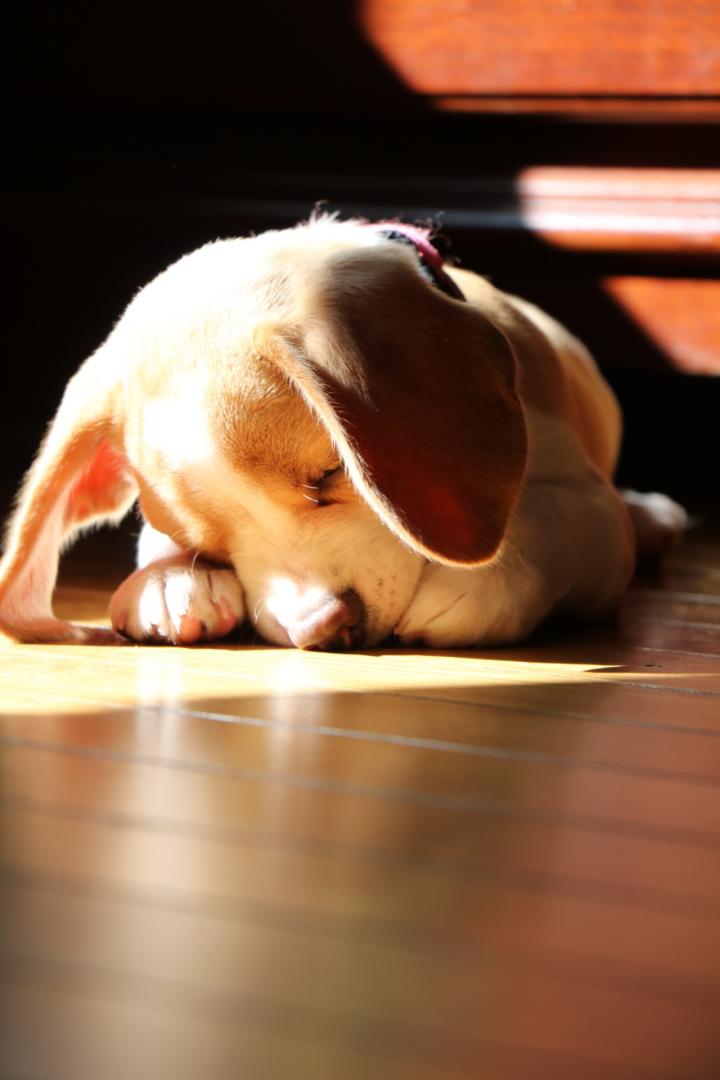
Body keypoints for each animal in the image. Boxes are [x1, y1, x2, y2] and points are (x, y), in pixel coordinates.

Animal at [0, 213, 686, 643]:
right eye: (205, 542)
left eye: (331, 474)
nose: (320, 628)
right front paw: (168, 580)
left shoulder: (596, 517)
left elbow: (551, 520)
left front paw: (485, 581)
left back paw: (656, 518)